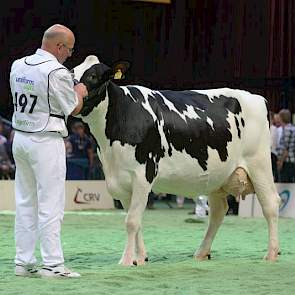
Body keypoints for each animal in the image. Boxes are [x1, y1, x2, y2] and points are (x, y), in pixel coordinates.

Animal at [73, 55, 280, 266]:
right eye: (72, 72)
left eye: (92, 76)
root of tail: (258, 98)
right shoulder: (120, 180)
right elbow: (136, 221)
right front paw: (140, 258)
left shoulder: (143, 174)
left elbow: (131, 221)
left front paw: (126, 260)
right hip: (218, 176)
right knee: (218, 211)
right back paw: (201, 252)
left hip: (259, 164)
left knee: (270, 204)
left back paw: (271, 253)